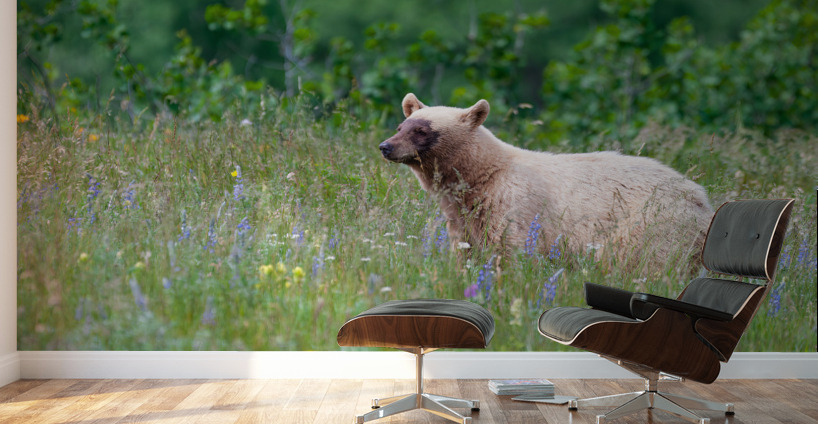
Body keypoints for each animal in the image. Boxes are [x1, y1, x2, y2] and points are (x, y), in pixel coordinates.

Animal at [378, 93, 714, 273]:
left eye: (422, 130)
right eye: (401, 125)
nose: (386, 146)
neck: (482, 176)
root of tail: (703, 202)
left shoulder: (515, 204)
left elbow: (513, 250)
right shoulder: (462, 214)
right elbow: (465, 247)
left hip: (653, 224)